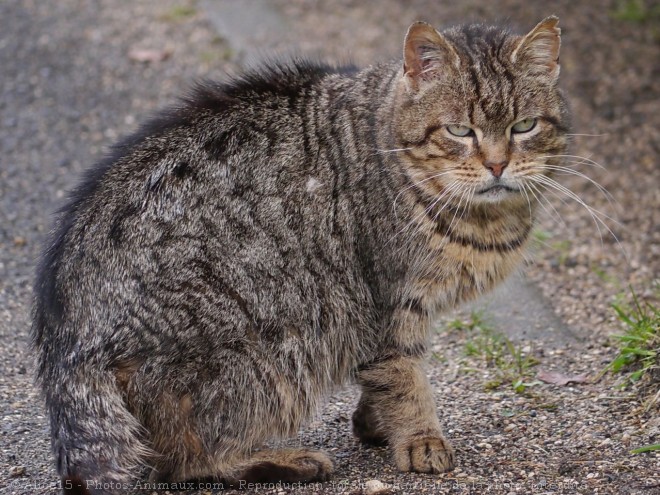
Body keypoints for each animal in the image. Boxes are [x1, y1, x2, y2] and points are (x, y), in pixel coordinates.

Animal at [31, 16, 568, 495]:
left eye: (524, 126)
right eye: (459, 131)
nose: (497, 165)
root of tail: (66, 338)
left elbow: (380, 377)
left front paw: (372, 423)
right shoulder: (386, 305)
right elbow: (403, 378)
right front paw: (420, 439)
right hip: (267, 357)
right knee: (182, 460)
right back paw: (282, 460)